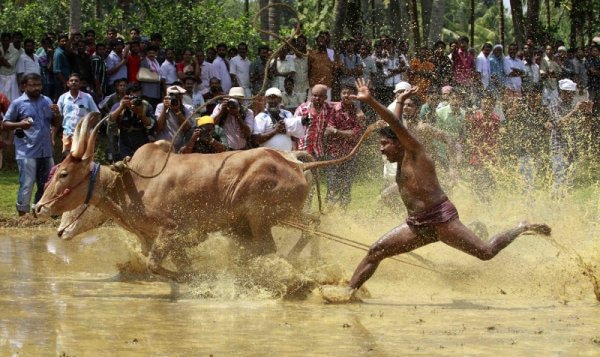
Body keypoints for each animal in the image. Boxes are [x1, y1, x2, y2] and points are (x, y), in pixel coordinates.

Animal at [35, 112, 378, 280]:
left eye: (63, 173)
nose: (39, 207)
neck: (130, 183)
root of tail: (295, 161)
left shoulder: (173, 232)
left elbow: (158, 266)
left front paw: (191, 278)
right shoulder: (164, 240)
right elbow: (162, 263)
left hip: (263, 215)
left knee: (276, 242)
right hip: (278, 215)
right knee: (314, 223)